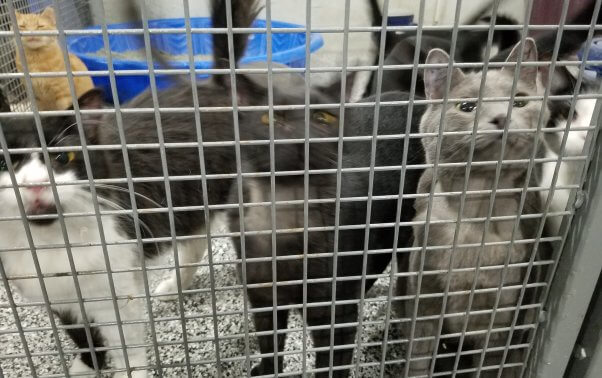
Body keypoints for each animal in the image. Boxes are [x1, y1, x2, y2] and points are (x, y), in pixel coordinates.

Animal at [406, 39, 552, 378]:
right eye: (467, 107)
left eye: (520, 101)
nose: (501, 117)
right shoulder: (424, 286)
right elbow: (419, 352)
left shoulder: (508, 304)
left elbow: (492, 360)